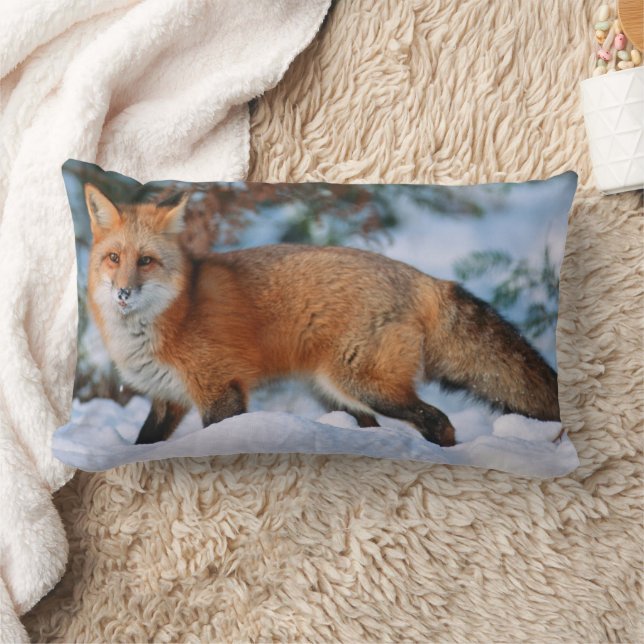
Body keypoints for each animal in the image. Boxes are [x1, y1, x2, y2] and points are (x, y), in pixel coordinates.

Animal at [83, 183, 561, 447]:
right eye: (113, 258)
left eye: (146, 261)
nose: (123, 292)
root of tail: (422, 276)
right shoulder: (169, 400)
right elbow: (141, 444)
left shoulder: (220, 390)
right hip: (335, 394)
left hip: (365, 386)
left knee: (439, 421)